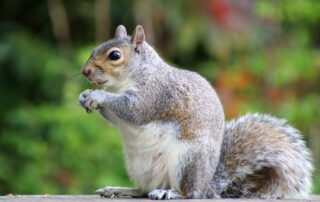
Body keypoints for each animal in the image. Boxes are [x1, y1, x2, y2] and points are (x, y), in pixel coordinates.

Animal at [79, 24, 314, 199]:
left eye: (115, 55)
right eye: (94, 49)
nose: (85, 71)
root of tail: (206, 185)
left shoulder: (155, 95)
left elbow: (134, 111)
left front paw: (98, 97)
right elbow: (116, 118)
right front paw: (85, 96)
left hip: (187, 160)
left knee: (188, 192)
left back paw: (169, 192)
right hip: (138, 167)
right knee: (144, 190)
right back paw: (121, 190)